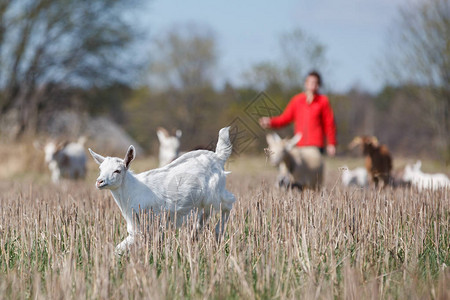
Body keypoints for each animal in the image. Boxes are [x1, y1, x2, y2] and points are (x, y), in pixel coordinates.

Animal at [88, 127, 236, 254]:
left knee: (229, 203)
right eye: (100, 169)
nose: (99, 181)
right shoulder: (137, 228)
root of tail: (218, 157)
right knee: (206, 216)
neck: (131, 189)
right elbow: (119, 248)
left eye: (117, 171)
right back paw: (195, 235)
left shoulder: (149, 222)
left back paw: (218, 233)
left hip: (215, 193)